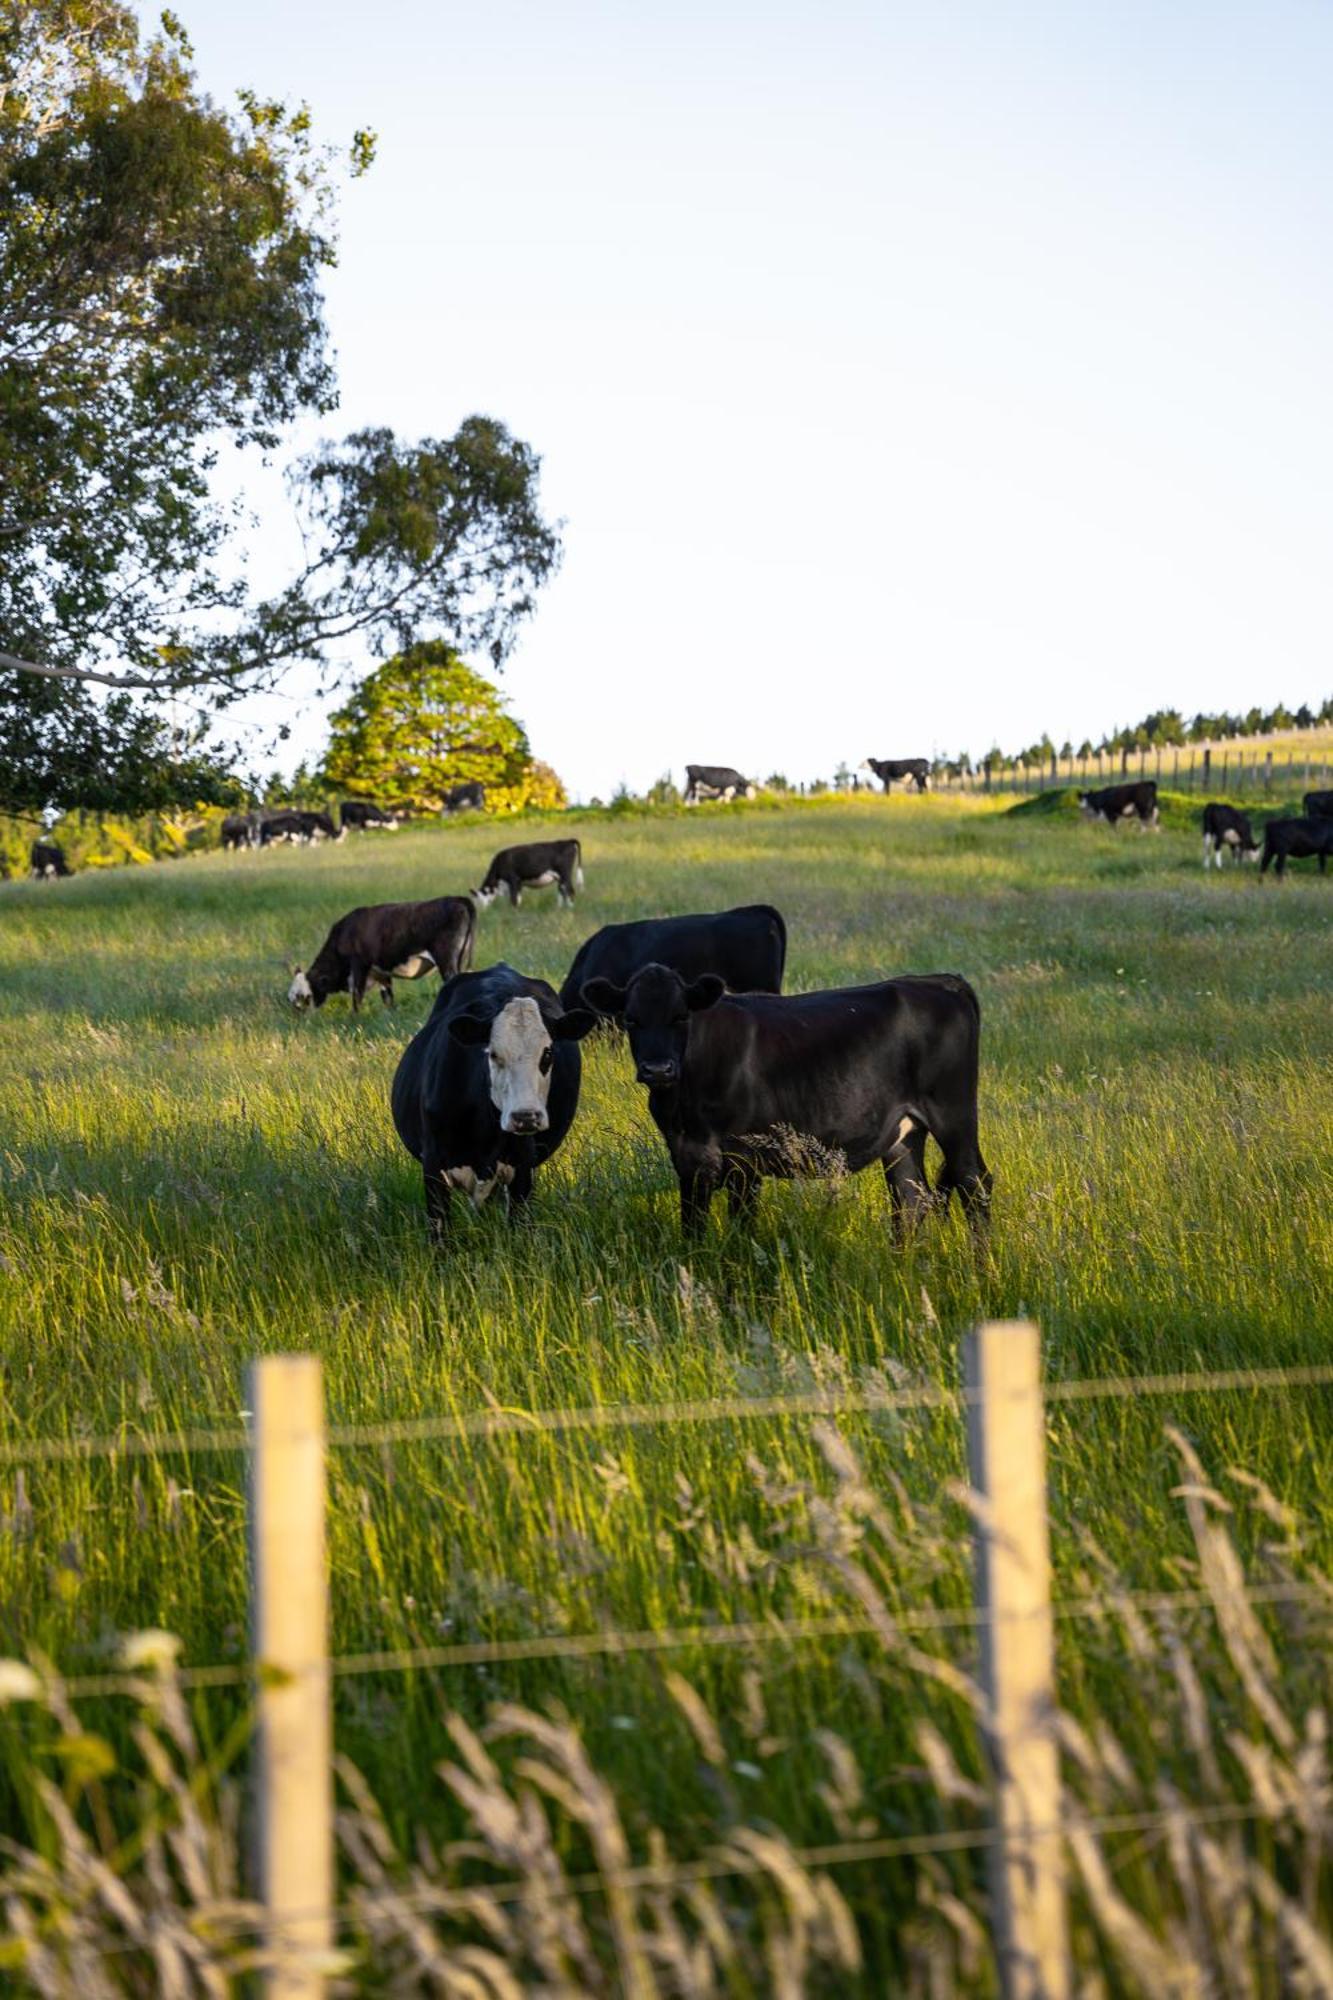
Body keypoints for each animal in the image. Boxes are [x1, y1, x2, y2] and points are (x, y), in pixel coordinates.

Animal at [288, 896, 474, 1008]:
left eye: (305, 997)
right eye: (291, 998)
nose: (299, 1020)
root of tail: (456, 899)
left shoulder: (359, 965)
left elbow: (357, 995)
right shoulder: (382, 973)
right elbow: (388, 997)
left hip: (448, 962)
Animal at [580, 964, 984, 1232]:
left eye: (680, 1016)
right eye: (631, 1019)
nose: (658, 1069)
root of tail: (939, 981)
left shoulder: (744, 1159)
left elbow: (741, 1231)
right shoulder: (687, 1156)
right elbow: (692, 1227)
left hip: (954, 1114)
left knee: (974, 1184)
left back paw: (981, 1272)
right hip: (904, 1131)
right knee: (911, 1199)